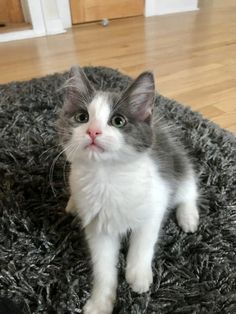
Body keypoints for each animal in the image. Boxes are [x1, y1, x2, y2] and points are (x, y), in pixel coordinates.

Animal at [57, 67, 199, 314]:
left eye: (118, 121)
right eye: (82, 117)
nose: (93, 132)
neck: (106, 176)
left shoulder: (155, 202)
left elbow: (143, 243)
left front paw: (138, 276)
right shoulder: (97, 225)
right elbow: (103, 265)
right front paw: (100, 302)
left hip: (177, 163)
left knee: (188, 189)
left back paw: (188, 217)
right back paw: (73, 205)